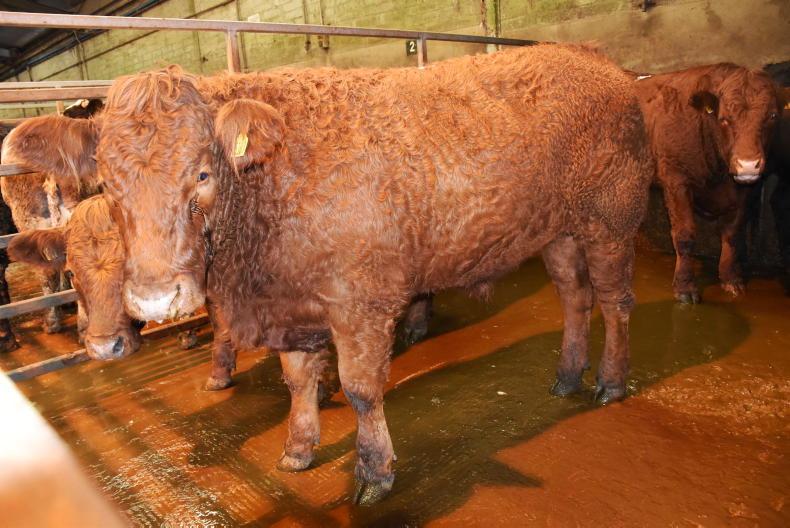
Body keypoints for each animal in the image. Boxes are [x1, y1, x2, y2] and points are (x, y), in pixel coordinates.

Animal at [8, 44, 654, 504]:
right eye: (107, 181)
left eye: (201, 174)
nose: (156, 300)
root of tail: (596, 61)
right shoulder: (293, 307)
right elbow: (297, 380)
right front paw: (299, 448)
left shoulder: (362, 302)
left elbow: (363, 389)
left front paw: (374, 471)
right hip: (560, 231)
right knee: (575, 298)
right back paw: (567, 375)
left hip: (612, 218)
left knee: (616, 301)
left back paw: (610, 381)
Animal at [635, 65, 781, 303]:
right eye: (724, 119)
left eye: (772, 116)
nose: (748, 164)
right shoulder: (676, 179)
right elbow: (684, 235)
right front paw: (685, 287)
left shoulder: (744, 190)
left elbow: (732, 233)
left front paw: (731, 279)